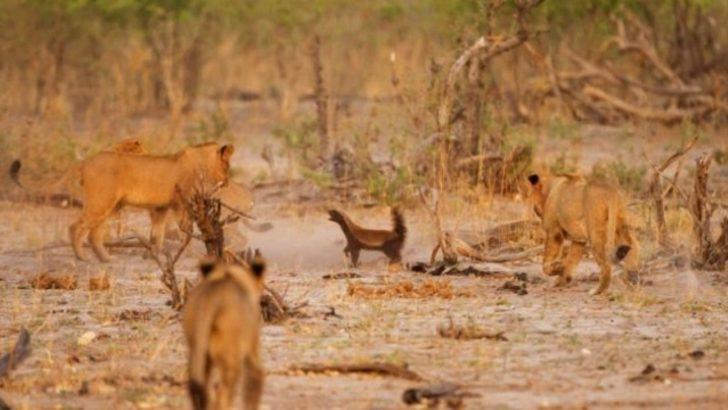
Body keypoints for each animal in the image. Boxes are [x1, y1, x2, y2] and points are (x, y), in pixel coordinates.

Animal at [183, 258, 266, 408]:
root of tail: (213, 296)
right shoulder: (252, 347)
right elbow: (255, 378)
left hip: (197, 351)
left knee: (199, 389)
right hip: (230, 355)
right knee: (221, 390)